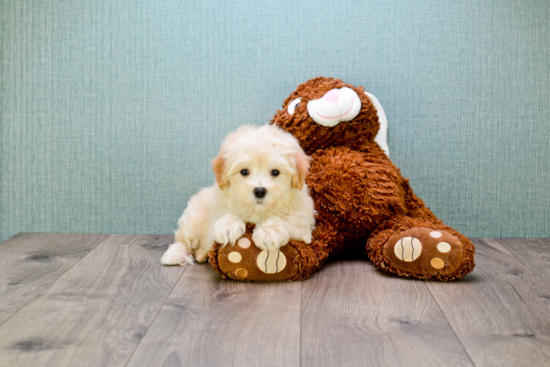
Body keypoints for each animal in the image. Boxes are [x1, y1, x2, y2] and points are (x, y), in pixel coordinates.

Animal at [161, 125, 314, 266]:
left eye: (275, 172)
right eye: (244, 172)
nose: (259, 190)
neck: (257, 211)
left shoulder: (303, 223)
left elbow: (285, 220)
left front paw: (268, 232)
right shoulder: (217, 210)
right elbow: (225, 215)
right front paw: (228, 226)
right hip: (193, 219)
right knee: (184, 239)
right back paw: (180, 253)